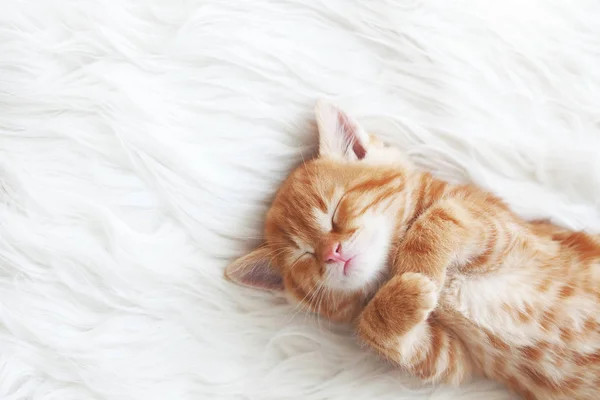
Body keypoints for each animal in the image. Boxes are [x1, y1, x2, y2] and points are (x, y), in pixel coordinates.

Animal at [224, 101, 600, 400]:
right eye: (305, 255)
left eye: (335, 211)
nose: (332, 253)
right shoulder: (455, 358)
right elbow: (384, 334)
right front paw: (406, 294)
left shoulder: (521, 238)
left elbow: (441, 215)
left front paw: (419, 264)